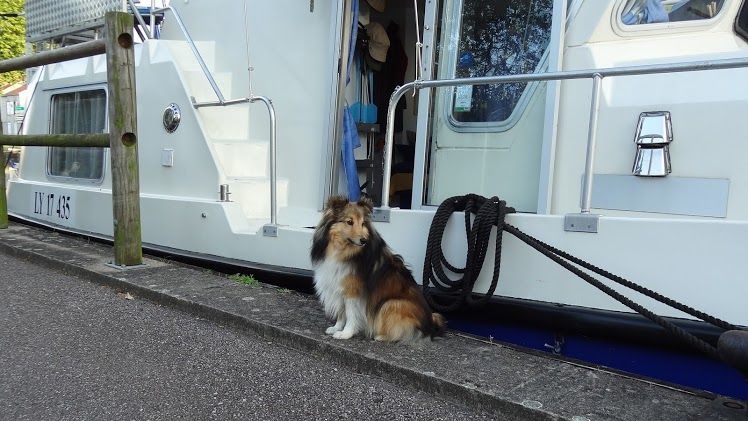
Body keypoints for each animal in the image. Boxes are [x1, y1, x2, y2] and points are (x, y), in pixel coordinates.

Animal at [310, 195, 444, 340]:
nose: (364, 240)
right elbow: (341, 312)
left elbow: (351, 314)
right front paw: (336, 328)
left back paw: (381, 336)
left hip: (391, 304)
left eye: (363, 223)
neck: (342, 251)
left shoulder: (353, 291)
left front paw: (346, 333)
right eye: (349, 222)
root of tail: (430, 322)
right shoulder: (338, 287)